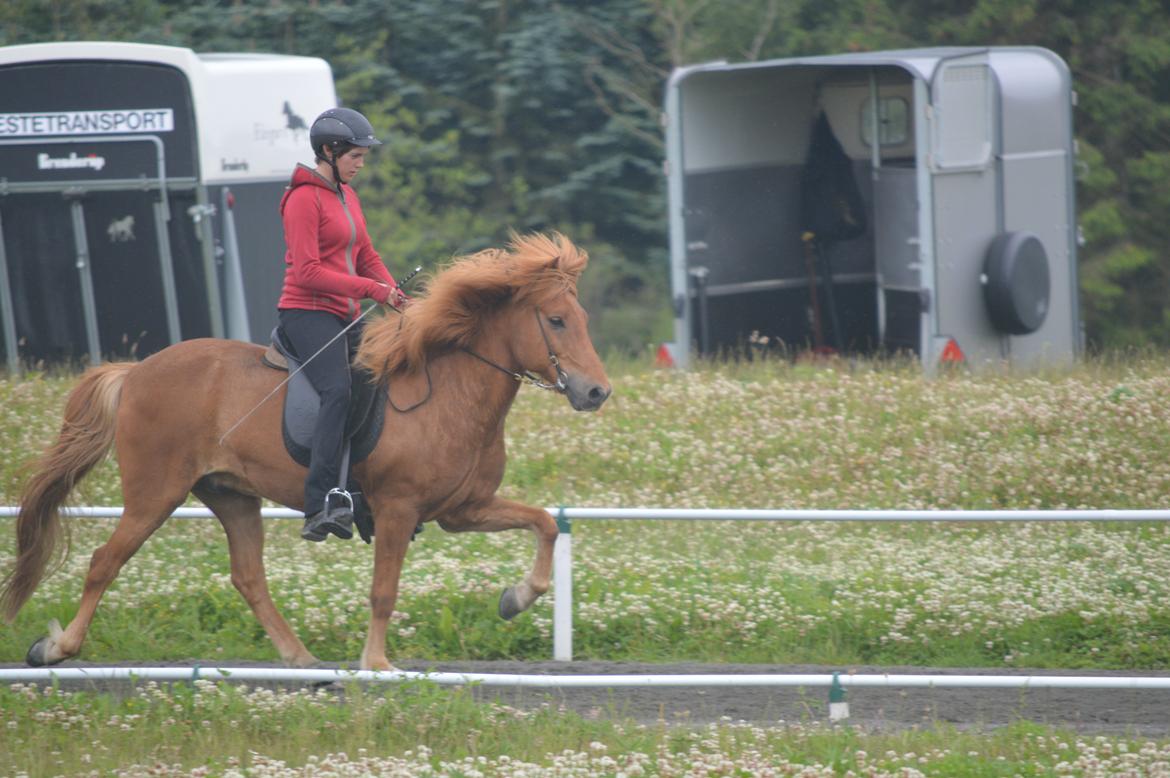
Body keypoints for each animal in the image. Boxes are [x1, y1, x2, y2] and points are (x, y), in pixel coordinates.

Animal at [0, 230, 608, 669]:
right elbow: (383, 590)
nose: (597, 392)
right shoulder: (398, 508)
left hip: (230, 494)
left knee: (248, 578)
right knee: (105, 562)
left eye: (582, 319)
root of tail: (135, 371)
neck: (450, 391)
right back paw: (56, 648)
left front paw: (517, 598)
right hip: (156, 492)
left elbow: (544, 524)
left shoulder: (463, 510)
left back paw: (300, 659)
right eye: (556, 321)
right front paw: (377, 664)